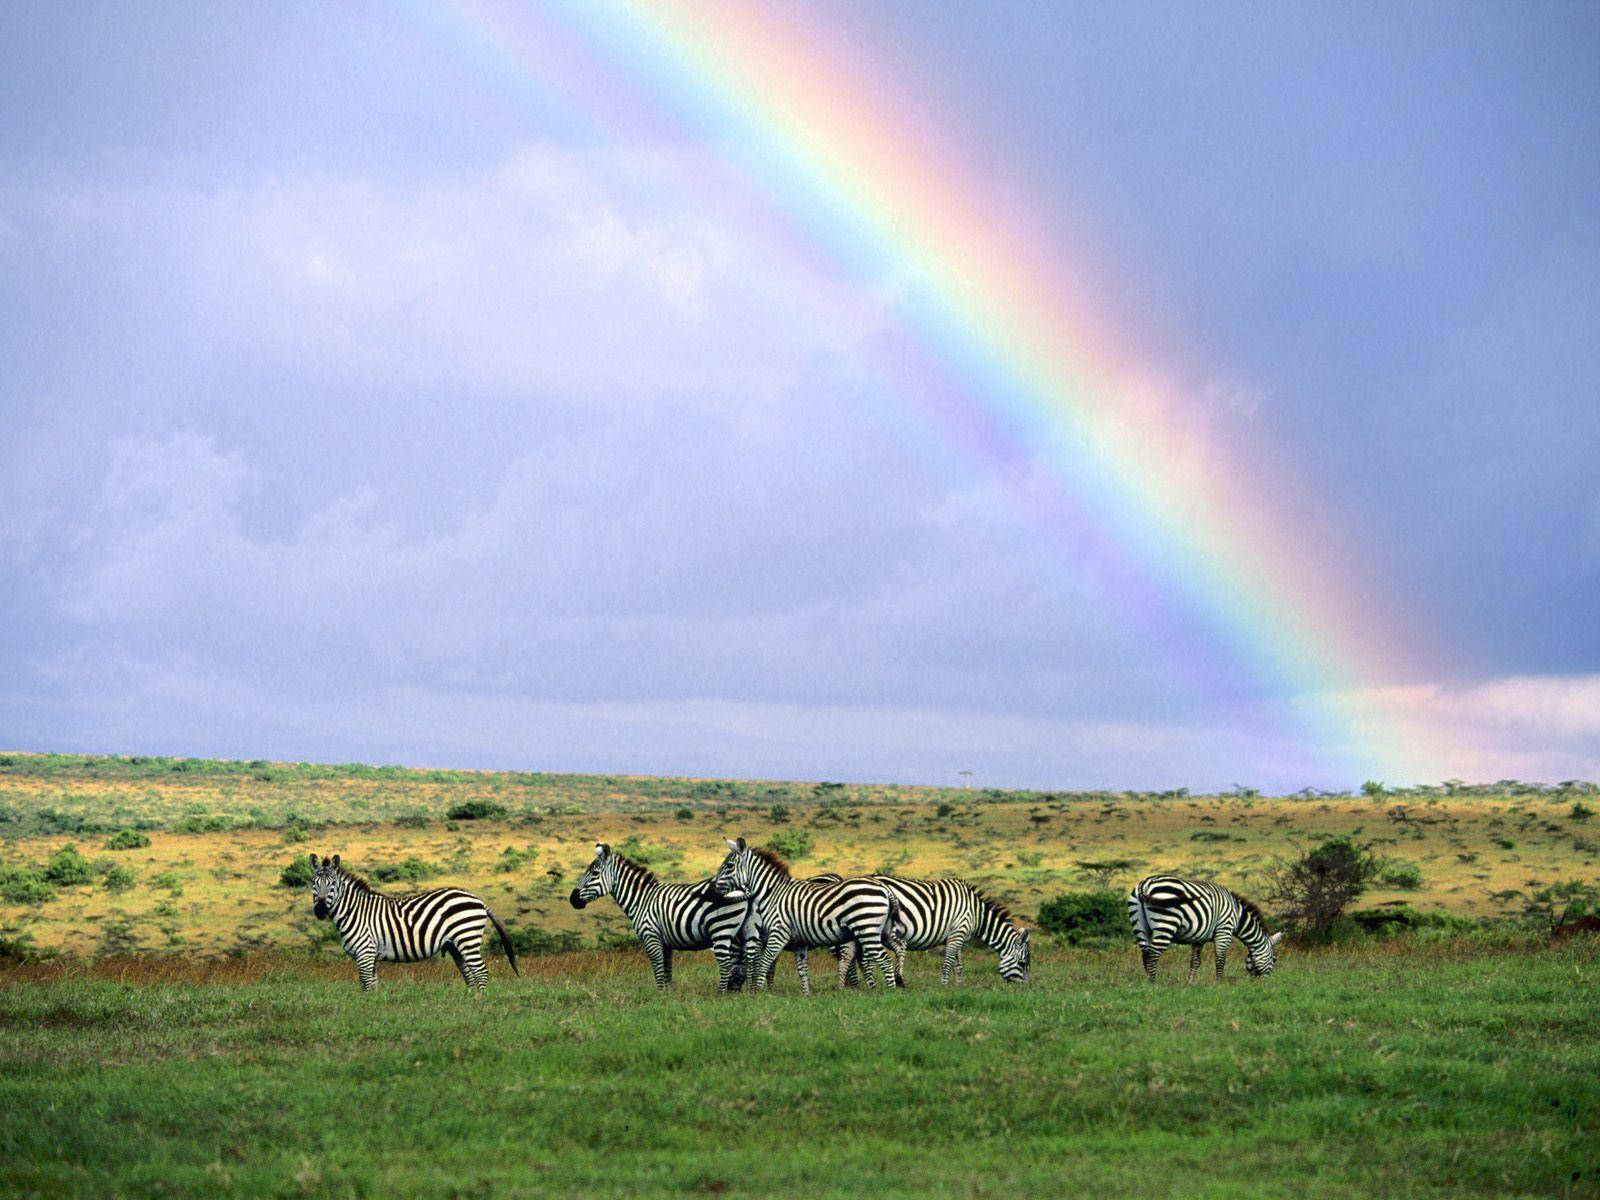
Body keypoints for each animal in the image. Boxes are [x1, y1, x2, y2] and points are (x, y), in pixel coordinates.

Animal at [305, 851, 518, 992]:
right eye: (314, 884)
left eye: (332, 884)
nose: (320, 911)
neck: (354, 911)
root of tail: (478, 899)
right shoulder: (370, 955)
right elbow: (372, 985)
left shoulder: (364, 952)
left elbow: (366, 985)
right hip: (456, 945)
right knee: (470, 975)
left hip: (467, 938)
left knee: (481, 972)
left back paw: (479, 1004)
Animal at [569, 838, 755, 992]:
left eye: (594, 874)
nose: (573, 899)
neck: (642, 900)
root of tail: (741, 887)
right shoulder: (665, 943)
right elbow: (667, 970)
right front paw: (668, 995)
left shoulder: (651, 937)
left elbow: (657, 968)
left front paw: (660, 995)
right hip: (737, 933)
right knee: (740, 964)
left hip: (721, 929)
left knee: (726, 965)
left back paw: (720, 994)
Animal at [710, 838, 902, 998]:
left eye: (729, 866)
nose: (713, 889)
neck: (773, 893)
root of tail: (884, 888)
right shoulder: (799, 942)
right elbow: (802, 969)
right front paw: (806, 996)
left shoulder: (778, 933)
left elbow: (764, 962)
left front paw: (756, 993)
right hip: (882, 931)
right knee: (893, 950)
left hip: (866, 929)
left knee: (884, 959)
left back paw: (891, 994)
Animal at [832, 876, 1030, 992]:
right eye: (1022, 964)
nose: (1026, 991)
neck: (976, 913)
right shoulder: (958, 931)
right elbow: (948, 962)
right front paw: (944, 986)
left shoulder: (957, 934)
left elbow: (959, 964)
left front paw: (959, 986)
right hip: (870, 926)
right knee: (864, 958)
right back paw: (871, 987)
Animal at [1126, 876, 1286, 979]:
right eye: (1274, 959)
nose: (1264, 983)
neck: (1237, 916)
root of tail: (1145, 884)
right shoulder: (1224, 930)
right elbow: (1220, 959)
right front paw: (1220, 984)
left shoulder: (1199, 938)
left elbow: (1195, 962)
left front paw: (1190, 983)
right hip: (1165, 924)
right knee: (1153, 955)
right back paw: (1154, 984)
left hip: (1140, 926)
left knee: (1146, 954)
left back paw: (1148, 984)